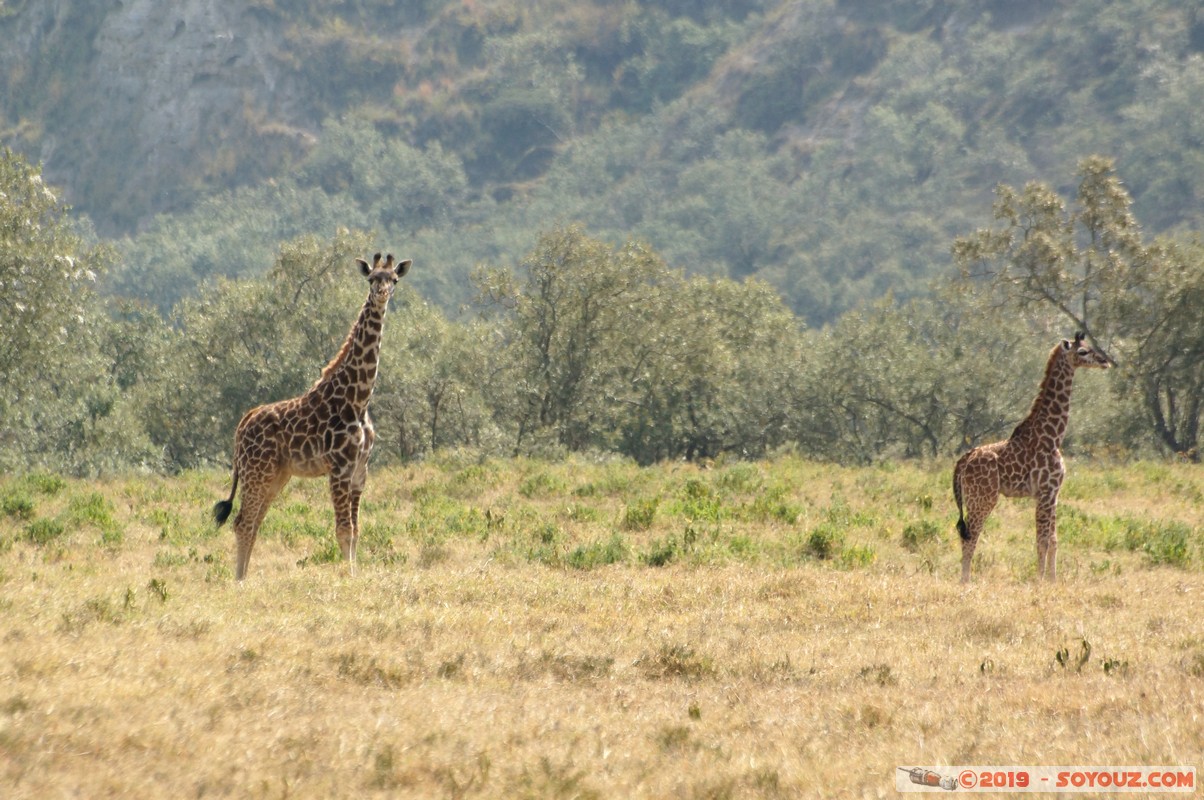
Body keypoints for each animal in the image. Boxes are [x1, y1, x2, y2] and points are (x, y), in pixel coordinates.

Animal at [211, 253, 409, 578]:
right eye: (371, 279)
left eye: (393, 279)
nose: (381, 294)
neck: (358, 399)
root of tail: (242, 424)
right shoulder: (339, 469)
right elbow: (343, 530)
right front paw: (348, 579)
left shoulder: (360, 470)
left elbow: (356, 530)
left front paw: (355, 575)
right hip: (256, 472)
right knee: (243, 522)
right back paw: (239, 581)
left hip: (276, 475)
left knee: (252, 523)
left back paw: (244, 579)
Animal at [953, 334, 1112, 585]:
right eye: (1083, 352)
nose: (1105, 361)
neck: (1053, 437)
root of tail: (962, 462)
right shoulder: (1045, 492)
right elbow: (1042, 540)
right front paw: (1039, 580)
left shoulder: (1054, 493)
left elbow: (1054, 540)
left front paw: (1053, 580)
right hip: (983, 498)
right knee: (970, 535)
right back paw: (965, 581)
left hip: (973, 497)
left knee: (966, 533)